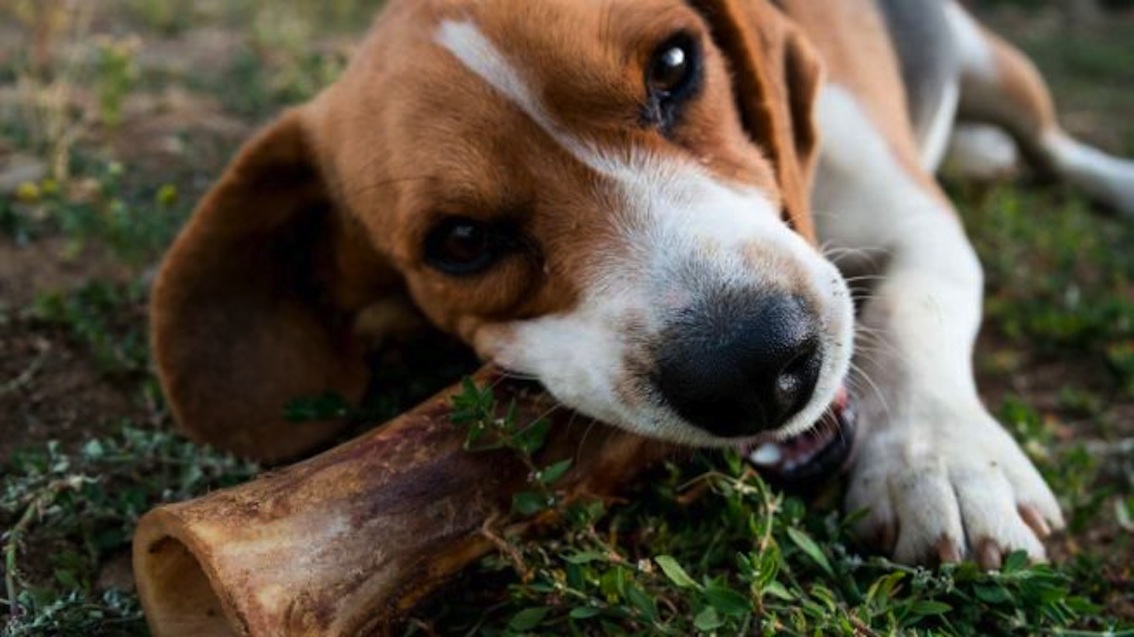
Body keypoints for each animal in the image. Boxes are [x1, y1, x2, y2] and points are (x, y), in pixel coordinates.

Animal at [153, 0, 1134, 564]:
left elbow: (915, 306)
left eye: (673, 65)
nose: (754, 365)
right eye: (461, 241)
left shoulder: (914, 217)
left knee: (1053, 147)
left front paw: (944, 462)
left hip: (1003, 70)